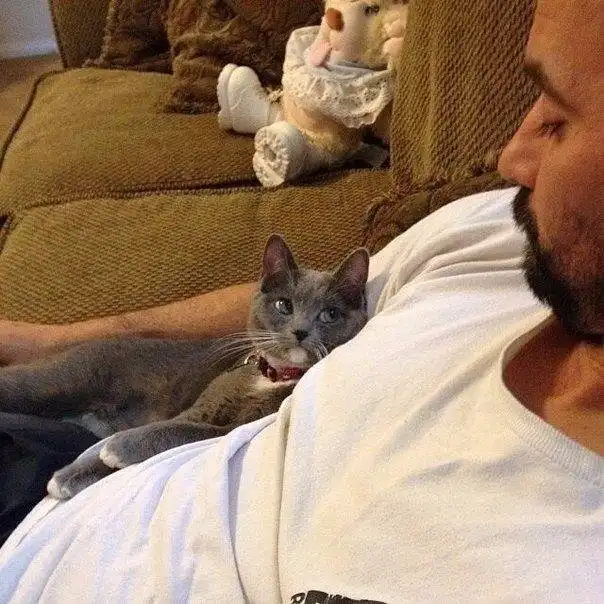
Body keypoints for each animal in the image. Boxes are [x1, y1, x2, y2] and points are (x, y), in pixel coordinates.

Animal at [0, 234, 369, 499]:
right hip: (60, 380)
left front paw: (115, 449)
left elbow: (182, 431)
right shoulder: (204, 404)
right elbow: (176, 424)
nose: (301, 331)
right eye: (284, 305)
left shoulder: (234, 426)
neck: (273, 375)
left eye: (330, 314)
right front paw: (79, 470)